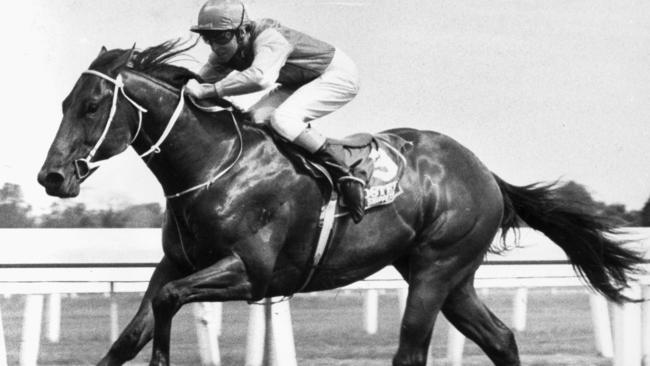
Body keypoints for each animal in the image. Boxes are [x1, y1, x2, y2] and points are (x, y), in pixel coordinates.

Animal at [38, 40, 640, 366]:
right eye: (65, 102)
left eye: (92, 105)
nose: (51, 177)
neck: (213, 167)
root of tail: (482, 171)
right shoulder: (174, 264)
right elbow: (130, 334)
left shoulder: (252, 273)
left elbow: (167, 306)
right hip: (452, 276)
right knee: (501, 337)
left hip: (436, 267)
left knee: (410, 350)